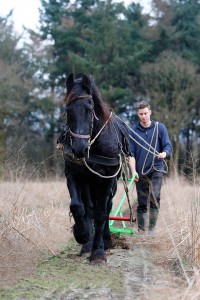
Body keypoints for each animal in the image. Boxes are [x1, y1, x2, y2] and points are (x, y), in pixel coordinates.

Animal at [57, 73, 130, 262]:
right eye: (68, 110)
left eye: (90, 109)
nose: (79, 148)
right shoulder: (74, 174)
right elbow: (79, 207)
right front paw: (82, 235)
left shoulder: (107, 179)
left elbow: (101, 213)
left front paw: (98, 252)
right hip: (89, 183)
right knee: (88, 208)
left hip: (110, 184)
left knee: (106, 207)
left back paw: (106, 240)